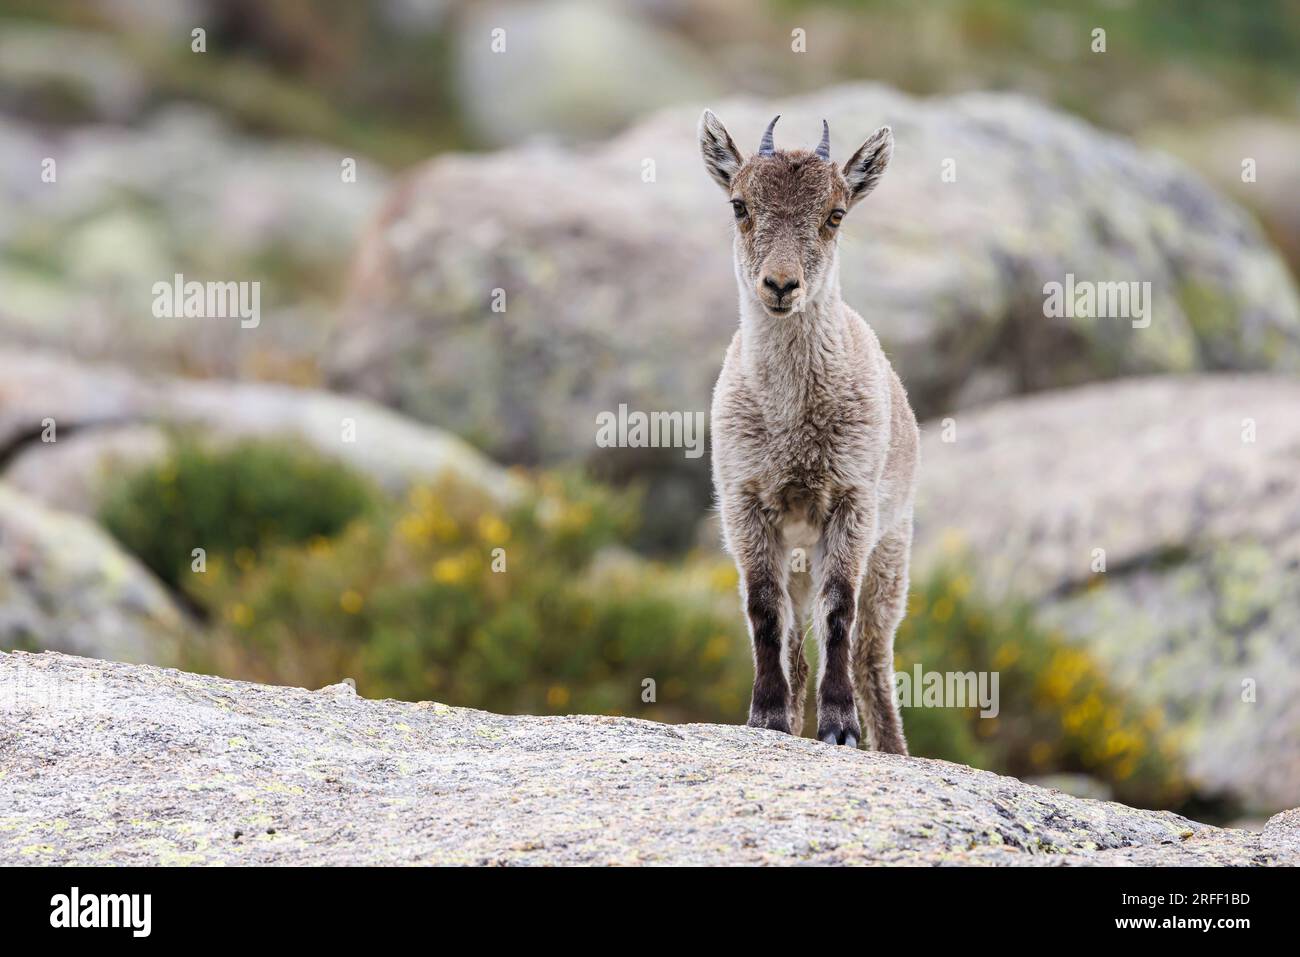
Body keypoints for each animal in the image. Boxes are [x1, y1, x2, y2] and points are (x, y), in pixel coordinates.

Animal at [700, 111, 918, 753]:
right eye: (740, 205)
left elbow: (839, 612)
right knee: (797, 641)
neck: (792, 422)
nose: (780, 285)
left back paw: (890, 747)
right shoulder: (745, 505)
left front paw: (840, 727)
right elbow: (763, 612)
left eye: (835, 214)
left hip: (892, 551)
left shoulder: (853, 503)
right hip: (798, 558)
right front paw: (767, 716)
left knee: (872, 651)